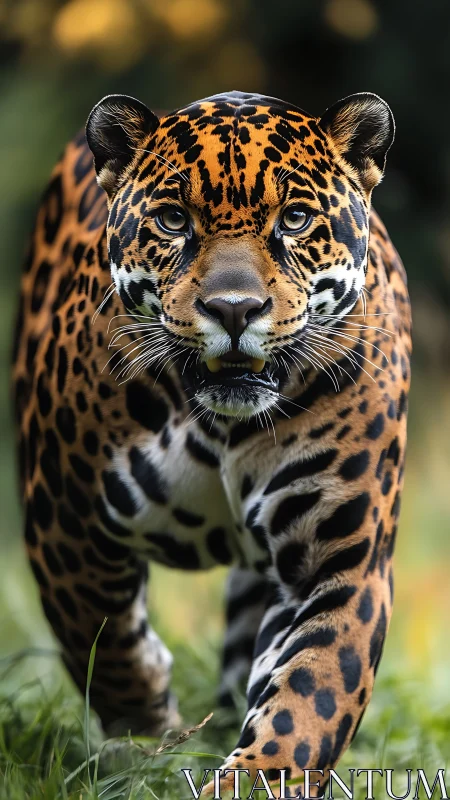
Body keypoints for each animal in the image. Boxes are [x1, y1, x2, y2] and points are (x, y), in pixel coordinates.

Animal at [12, 89, 411, 796]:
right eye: (174, 220)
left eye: (296, 218)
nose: (233, 308)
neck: (227, 426)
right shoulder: (64, 521)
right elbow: (101, 635)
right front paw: (148, 735)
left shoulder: (341, 562)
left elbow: (309, 696)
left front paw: (256, 776)